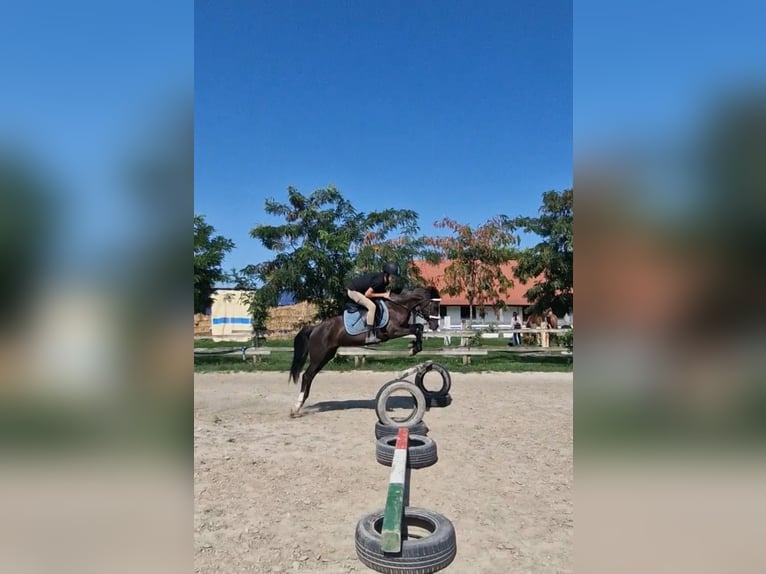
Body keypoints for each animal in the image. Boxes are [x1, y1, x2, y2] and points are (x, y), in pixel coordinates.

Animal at [288, 286, 442, 417]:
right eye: (434, 306)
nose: (435, 326)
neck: (398, 306)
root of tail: (315, 328)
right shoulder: (394, 331)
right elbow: (417, 328)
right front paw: (413, 348)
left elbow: (418, 327)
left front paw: (414, 346)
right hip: (319, 356)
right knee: (307, 375)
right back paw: (296, 407)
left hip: (326, 355)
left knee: (311, 375)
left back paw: (300, 404)